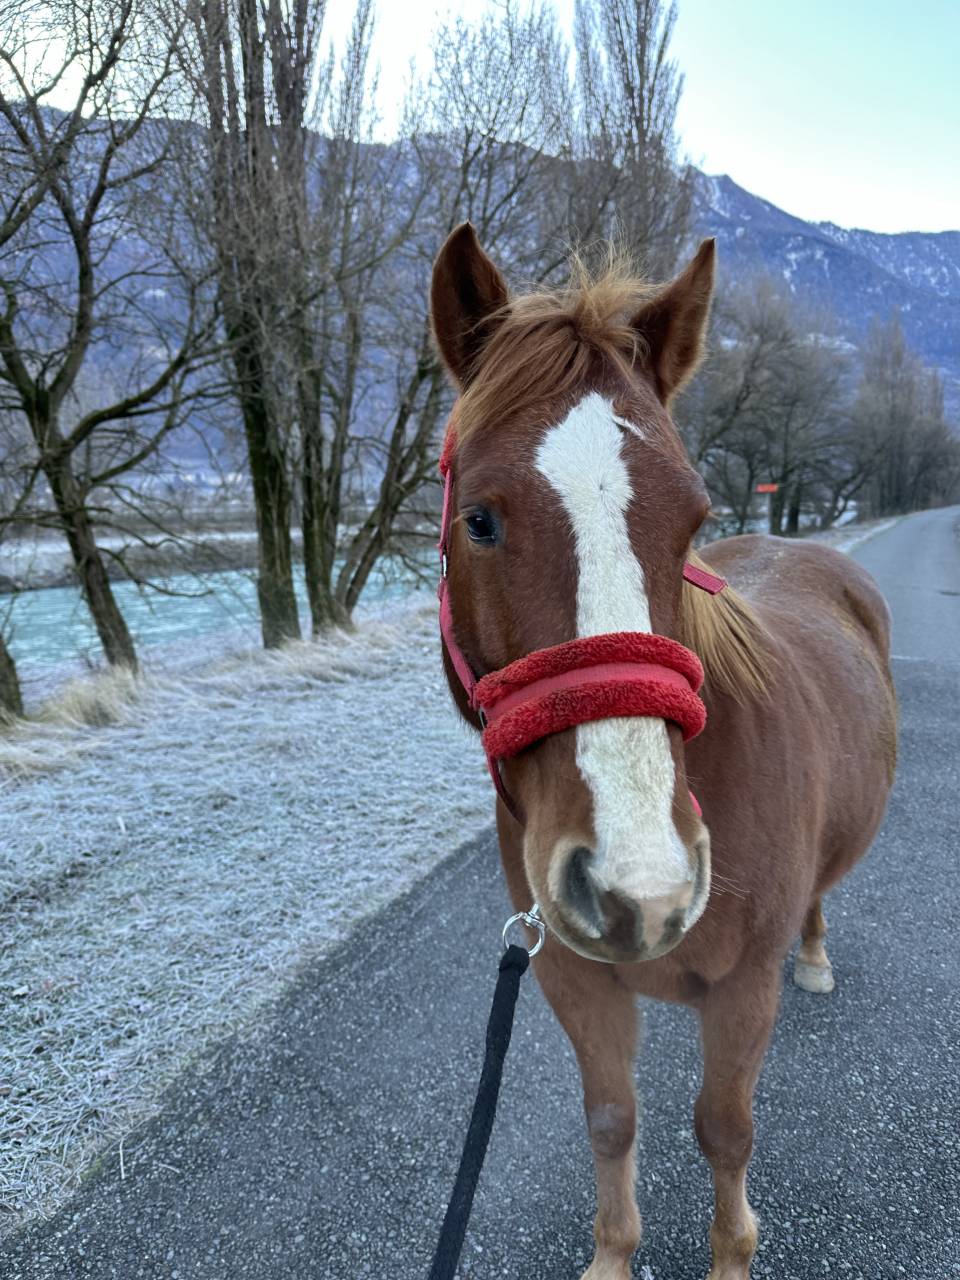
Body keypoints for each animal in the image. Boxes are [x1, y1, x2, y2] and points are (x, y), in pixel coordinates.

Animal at [429, 223, 897, 1279]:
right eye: (479, 518)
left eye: (691, 521)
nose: (640, 885)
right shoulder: (573, 978)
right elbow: (611, 1119)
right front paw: (613, 1257)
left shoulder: (742, 991)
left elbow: (725, 1130)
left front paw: (731, 1257)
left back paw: (817, 954)